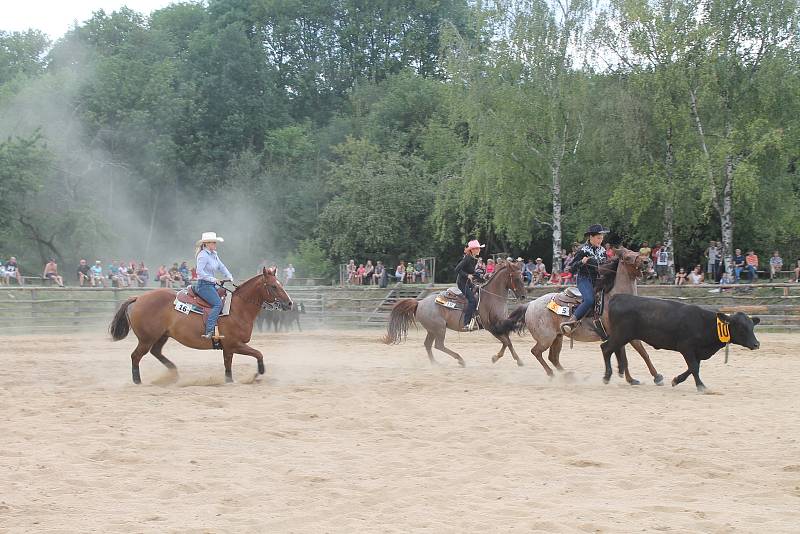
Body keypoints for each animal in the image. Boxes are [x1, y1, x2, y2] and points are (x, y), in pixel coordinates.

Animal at [108, 268, 292, 386]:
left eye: (280, 283)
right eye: (274, 286)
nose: (289, 303)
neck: (238, 308)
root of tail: (138, 298)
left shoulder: (228, 348)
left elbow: (228, 366)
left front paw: (230, 381)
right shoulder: (234, 344)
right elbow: (258, 354)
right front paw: (257, 373)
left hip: (161, 336)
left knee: (156, 352)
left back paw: (173, 373)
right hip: (147, 339)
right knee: (136, 356)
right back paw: (138, 381)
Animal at [382, 262, 528, 368]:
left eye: (522, 277)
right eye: (516, 278)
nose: (523, 296)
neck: (492, 298)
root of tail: (419, 303)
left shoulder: (501, 324)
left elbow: (507, 341)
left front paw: (501, 358)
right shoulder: (490, 326)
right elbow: (506, 341)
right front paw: (512, 360)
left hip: (432, 330)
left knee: (428, 345)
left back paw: (436, 363)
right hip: (439, 328)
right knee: (438, 345)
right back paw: (460, 360)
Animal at [604, 294, 760, 394]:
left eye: (752, 326)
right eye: (741, 327)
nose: (756, 344)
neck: (704, 323)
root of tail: (618, 297)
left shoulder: (697, 352)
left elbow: (692, 368)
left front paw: (676, 380)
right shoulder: (686, 347)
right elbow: (694, 367)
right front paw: (701, 386)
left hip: (621, 337)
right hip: (621, 335)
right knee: (605, 349)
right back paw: (607, 377)